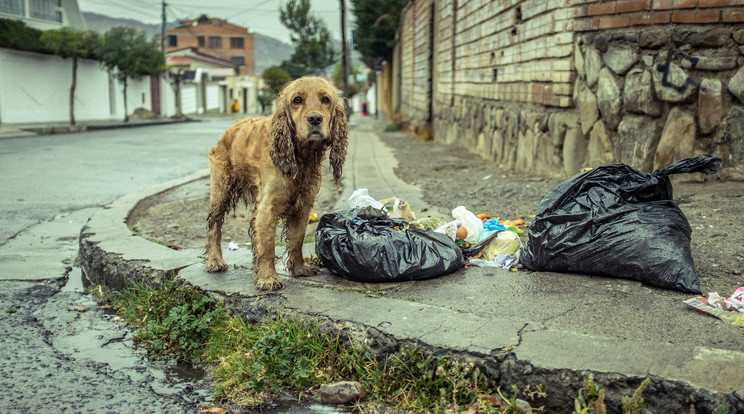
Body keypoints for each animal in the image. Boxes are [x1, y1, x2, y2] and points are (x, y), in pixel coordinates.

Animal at [205, 77, 348, 292]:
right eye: (297, 100)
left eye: (325, 99)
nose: (315, 119)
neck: (301, 158)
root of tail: (230, 129)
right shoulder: (268, 207)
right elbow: (267, 246)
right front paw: (267, 278)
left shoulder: (303, 207)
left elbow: (296, 240)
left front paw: (299, 269)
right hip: (220, 192)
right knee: (214, 226)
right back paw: (214, 261)